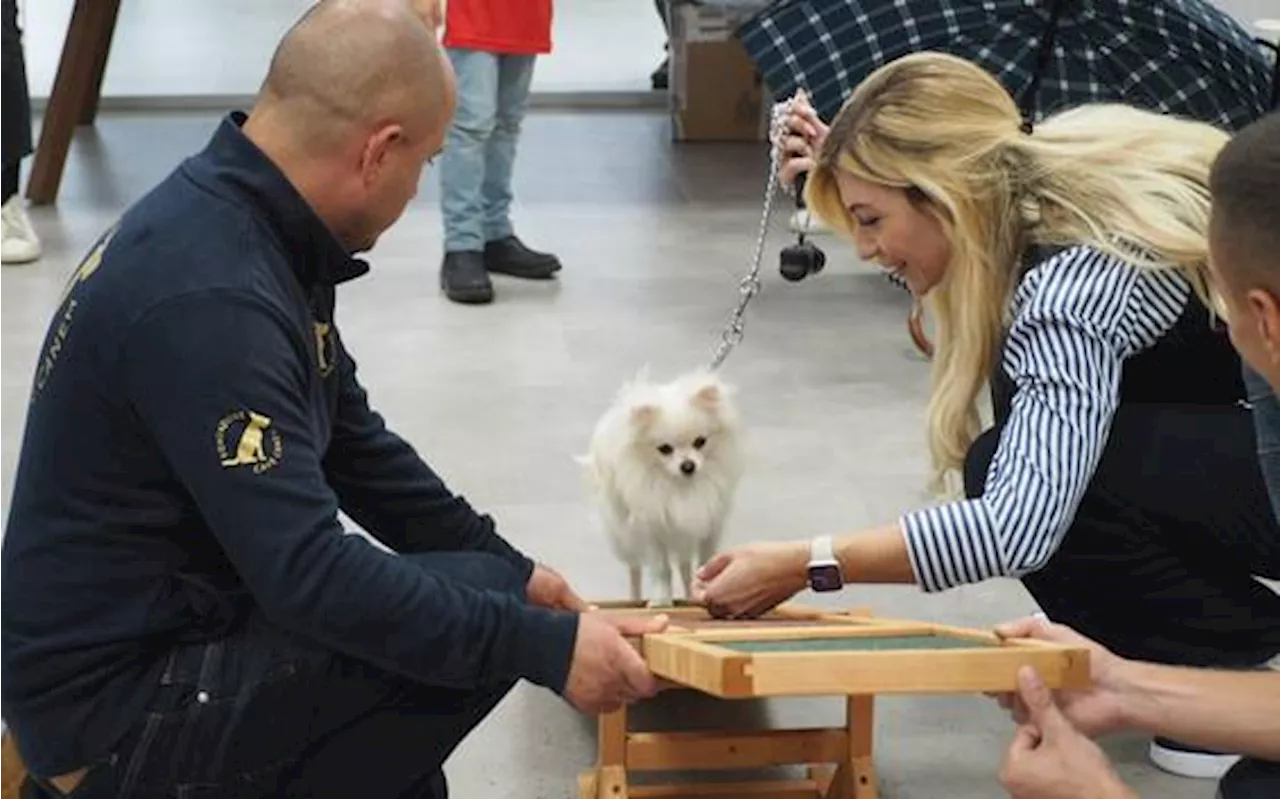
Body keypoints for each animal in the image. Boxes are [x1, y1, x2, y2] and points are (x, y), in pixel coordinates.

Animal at [578, 368, 747, 604]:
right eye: (665, 449)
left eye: (700, 442)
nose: (688, 465)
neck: (680, 487)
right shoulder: (652, 527)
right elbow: (661, 568)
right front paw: (662, 600)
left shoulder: (710, 524)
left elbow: (705, 560)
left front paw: (707, 586)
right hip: (622, 534)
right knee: (635, 568)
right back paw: (634, 598)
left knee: (684, 566)